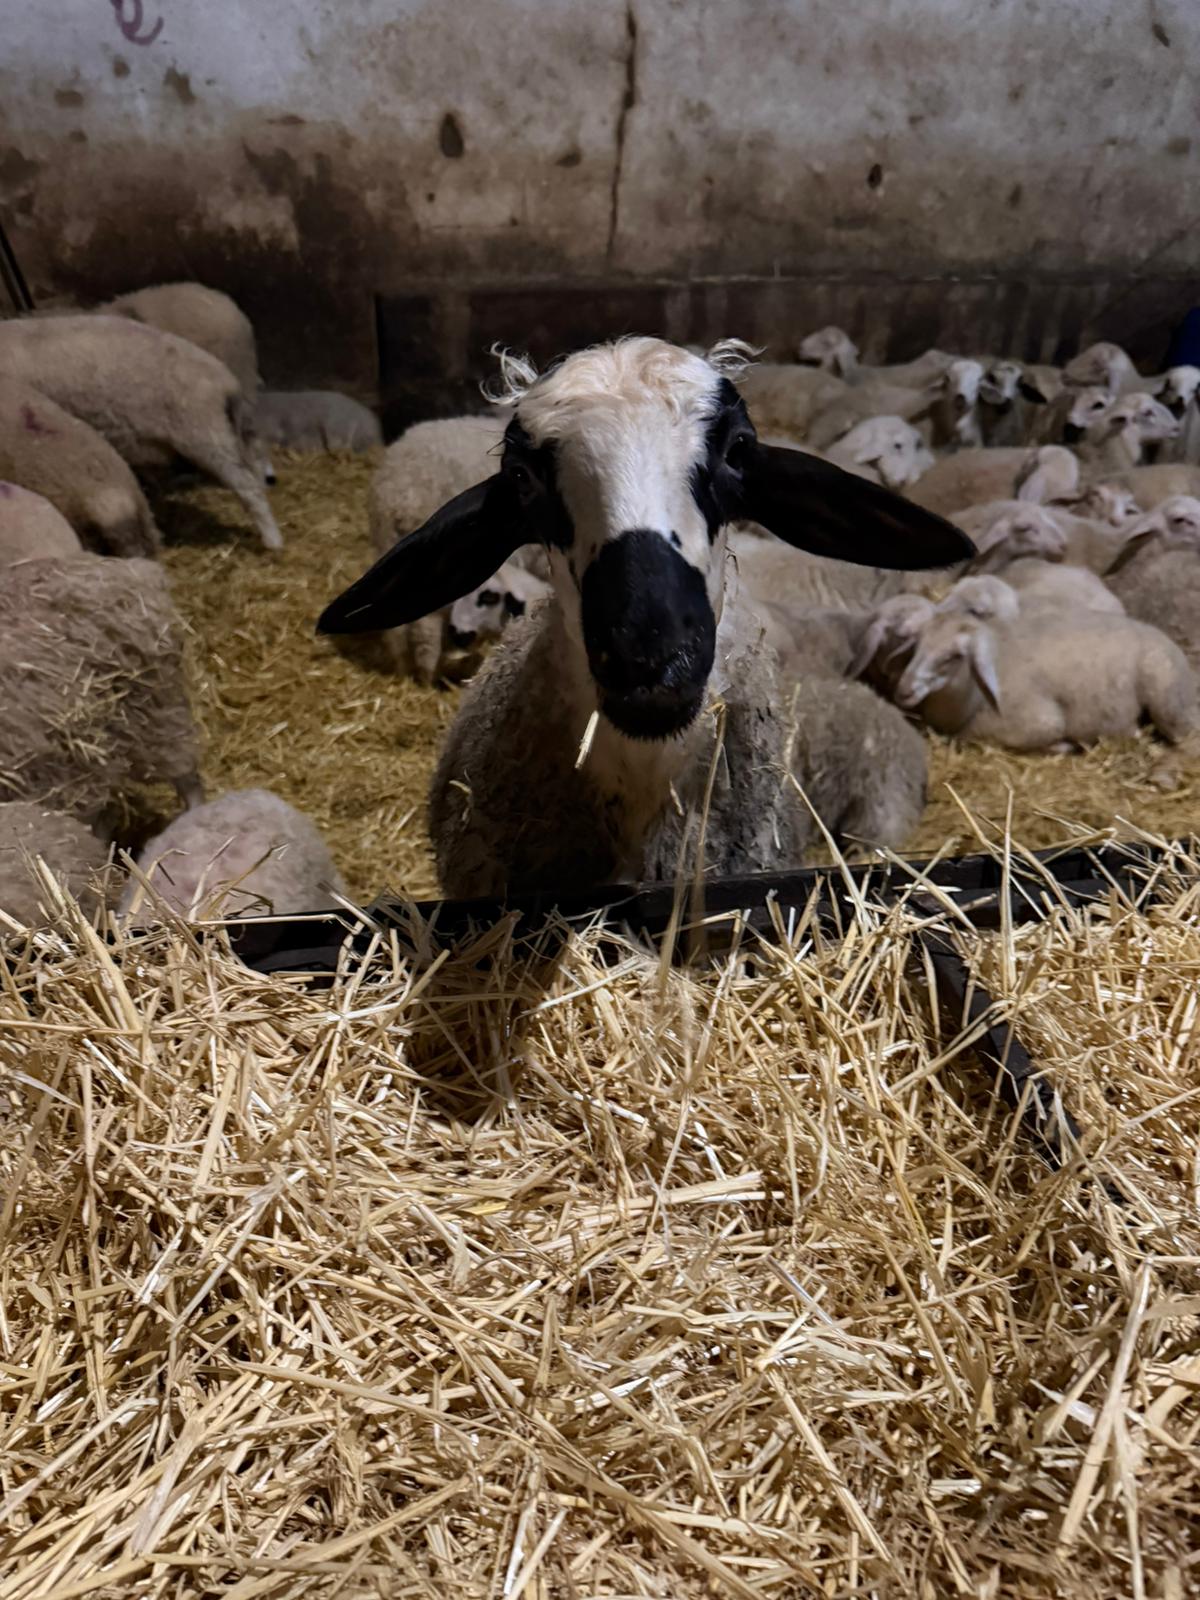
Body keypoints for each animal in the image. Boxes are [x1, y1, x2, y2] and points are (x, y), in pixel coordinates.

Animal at [893, 610, 1197, 751]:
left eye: (954, 656)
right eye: (917, 645)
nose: (903, 690)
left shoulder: (1041, 722)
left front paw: (1063, 746)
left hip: (1168, 699)